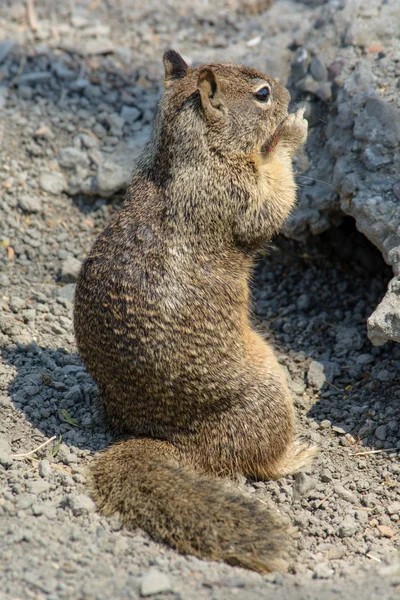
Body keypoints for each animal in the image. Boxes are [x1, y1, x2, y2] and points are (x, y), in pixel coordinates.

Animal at [73, 50, 314, 572]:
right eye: (262, 94)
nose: (289, 93)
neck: (186, 152)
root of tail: (178, 444)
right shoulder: (233, 191)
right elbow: (271, 201)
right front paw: (291, 130)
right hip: (270, 396)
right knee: (259, 463)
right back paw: (296, 455)